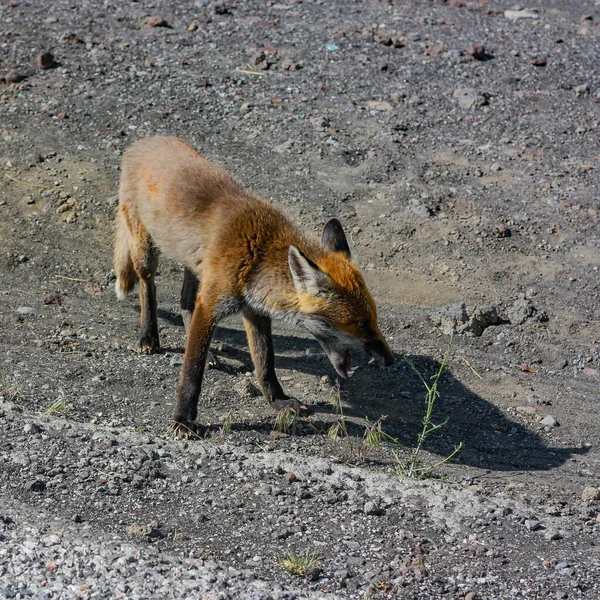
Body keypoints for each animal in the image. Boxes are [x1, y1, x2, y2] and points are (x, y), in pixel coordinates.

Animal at [113, 136, 396, 436]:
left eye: (374, 319)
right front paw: (182, 419)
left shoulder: (254, 310)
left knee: (185, 302)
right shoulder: (213, 303)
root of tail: (144, 141)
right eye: (360, 324)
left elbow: (265, 363)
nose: (390, 360)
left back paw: (208, 351)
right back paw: (148, 336)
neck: (259, 254)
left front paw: (279, 401)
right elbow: (191, 371)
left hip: (193, 265)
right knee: (148, 287)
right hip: (145, 252)